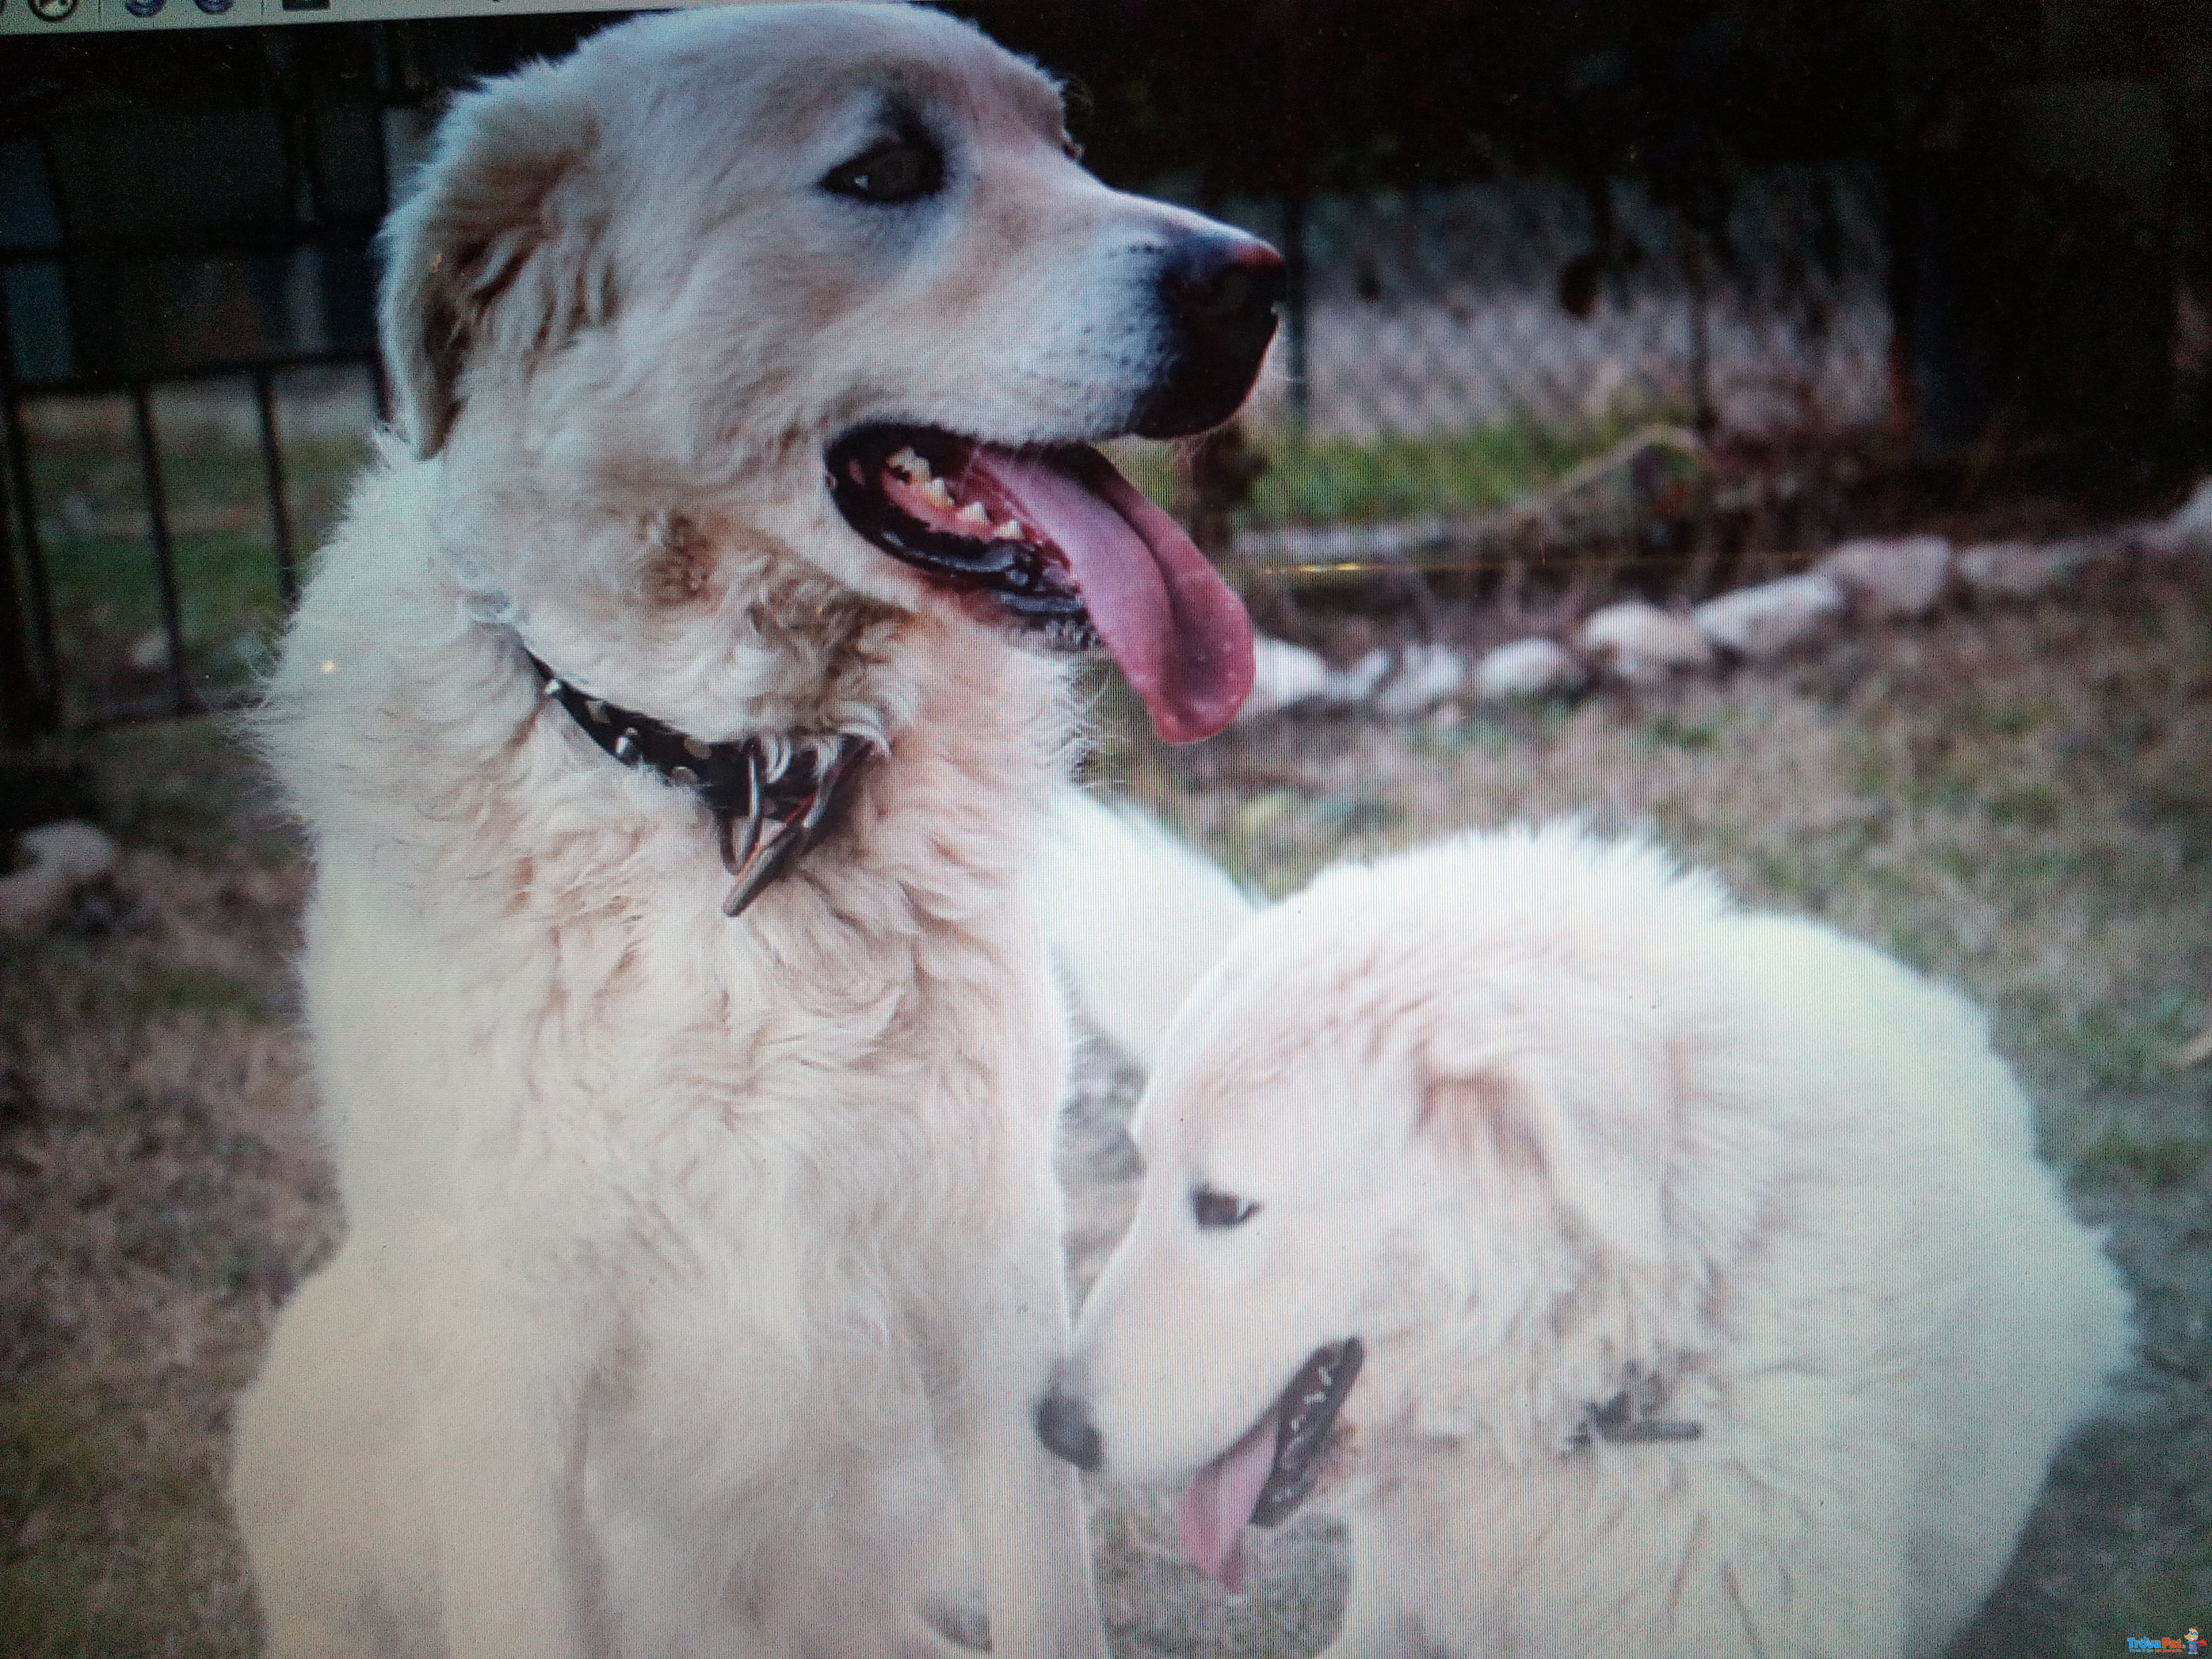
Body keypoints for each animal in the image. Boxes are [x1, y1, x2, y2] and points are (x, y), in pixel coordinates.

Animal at [224, 6, 1283, 1654]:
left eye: (1067, 142)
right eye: (885, 169)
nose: (1256, 281)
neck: (742, 781)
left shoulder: (995, 1299)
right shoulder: (509, 1389)